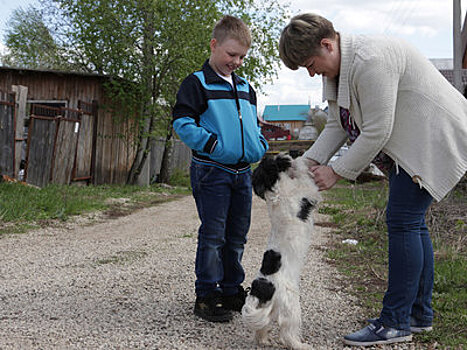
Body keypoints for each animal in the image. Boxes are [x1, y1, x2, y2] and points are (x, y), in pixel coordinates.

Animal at [241, 154, 322, 350]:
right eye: (274, 161)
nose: (283, 155)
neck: (276, 193)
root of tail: (263, 287)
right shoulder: (306, 191)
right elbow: (306, 178)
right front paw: (299, 162)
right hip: (291, 306)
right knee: (287, 334)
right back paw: (300, 345)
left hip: (270, 309)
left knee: (262, 327)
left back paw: (263, 340)